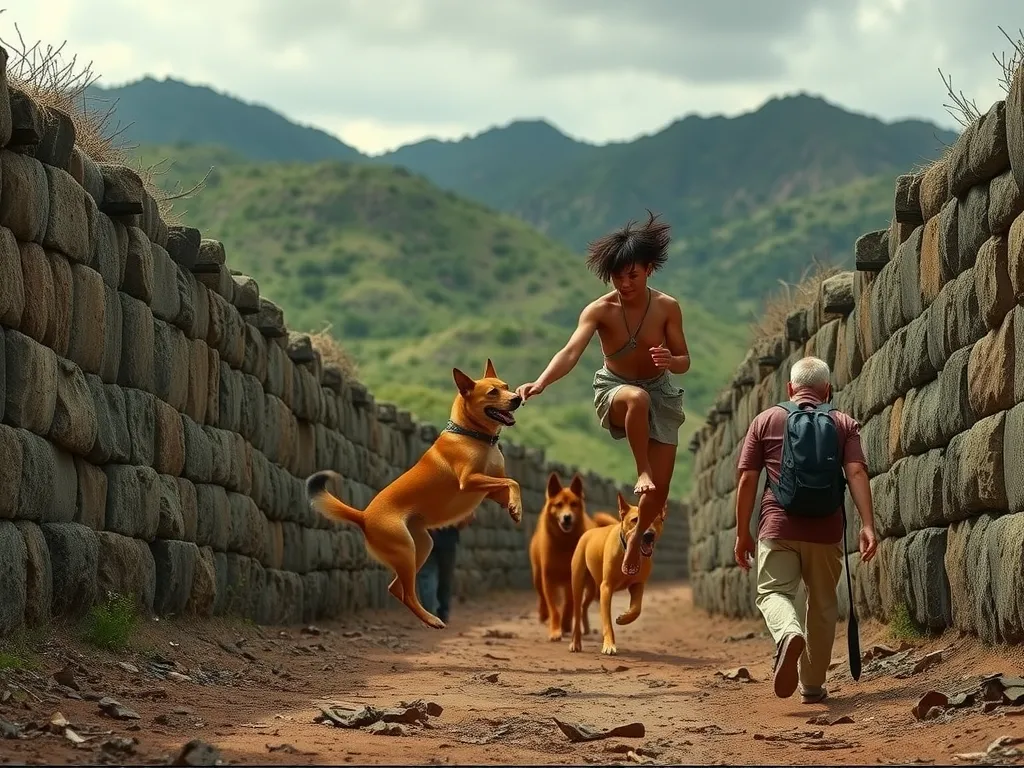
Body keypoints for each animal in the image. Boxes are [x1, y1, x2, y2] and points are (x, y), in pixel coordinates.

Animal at [305, 360, 524, 630]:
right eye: (493, 392)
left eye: (506, 386)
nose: (517, 398)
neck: (472, 435)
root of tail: (363, 516)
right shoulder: (469, 481)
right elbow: (512, 481)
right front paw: (516, 507)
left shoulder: (491, 490)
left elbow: (512, 484)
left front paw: (515, 508)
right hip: (405, 550)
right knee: (406, 593)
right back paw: (431, 619)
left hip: (420, 546)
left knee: (395, 588)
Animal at [528, 475, 614, 643]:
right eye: (558, 505)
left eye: (573, 504)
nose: (567, 517)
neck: (564, 543)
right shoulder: (548, 580)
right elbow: (554, 608)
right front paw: (555, 630)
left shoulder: (573, 580)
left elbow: (569, 605)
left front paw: (565, 625)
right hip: (537, 577)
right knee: (542, 597)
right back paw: (544, 615)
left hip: (591, 588)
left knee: (582, 607)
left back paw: (581, 627)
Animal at [569, 493, 663, 655]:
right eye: (635, 520)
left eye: (656, 519)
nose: (649, 535)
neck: (629, 552)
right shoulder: (606, 587)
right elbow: (607, 621)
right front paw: (609, 645)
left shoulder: (638, 585)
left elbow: (636, 610)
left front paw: (624, 618)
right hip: (578, 583)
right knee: (577, 611)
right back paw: (575, 643)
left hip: (593, 589)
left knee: (584, 606)